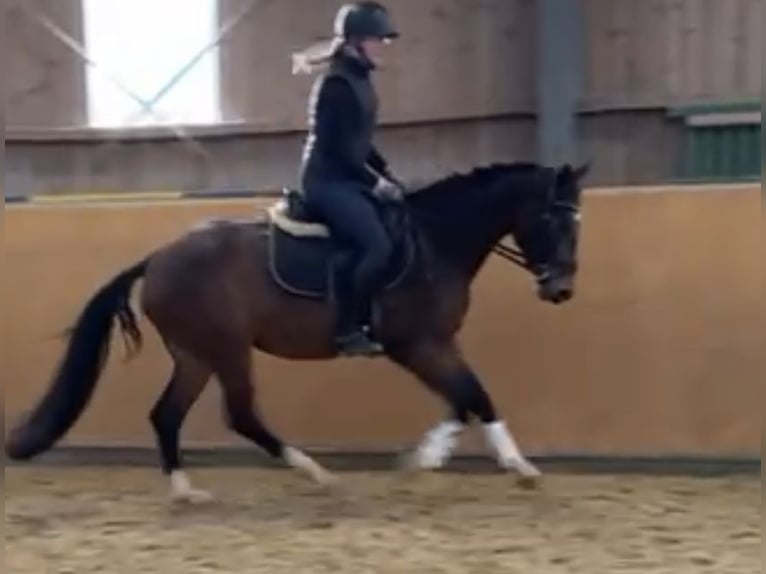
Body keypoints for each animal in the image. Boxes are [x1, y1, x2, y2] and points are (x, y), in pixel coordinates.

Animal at [6, 161, 588, 504]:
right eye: (555, 219)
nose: (560, 289)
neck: (433, 242)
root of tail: (156, 258)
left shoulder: (427, 347)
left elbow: (461, 400)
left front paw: (427, 457)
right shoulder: (421, 344)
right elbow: (475, 395)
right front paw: (518, 466)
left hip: (196, 354)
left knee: (166, 415)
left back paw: (186, 490)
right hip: (227, 349)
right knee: (241, 414)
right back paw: (314, 472)